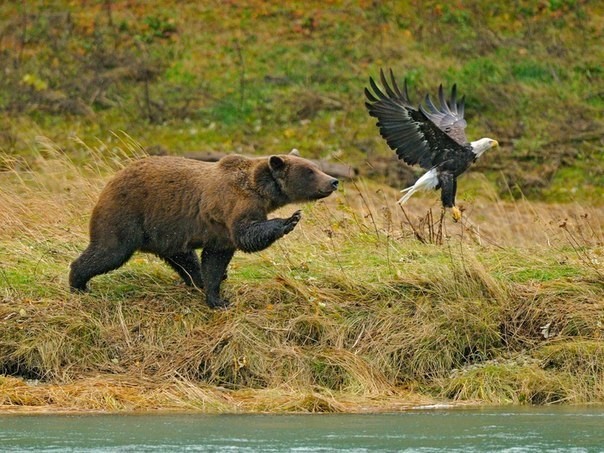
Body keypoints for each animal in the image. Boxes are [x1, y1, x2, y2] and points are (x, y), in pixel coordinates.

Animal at [69, 151, 340, 308]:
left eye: (315, 166)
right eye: (310, 171)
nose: (333, 180)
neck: (262, 191)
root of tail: (110, 181)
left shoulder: (219, 233)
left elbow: (214, 260)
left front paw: (217, 296)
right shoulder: (234, 204)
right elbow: (246, 234)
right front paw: (290, 220)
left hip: (166, 231)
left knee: (184, 258)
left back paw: (196, 279)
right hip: (127, 214)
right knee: (109, 251)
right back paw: (78, 283)